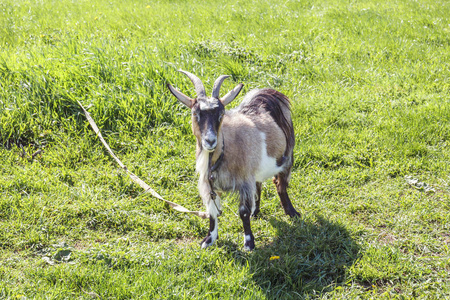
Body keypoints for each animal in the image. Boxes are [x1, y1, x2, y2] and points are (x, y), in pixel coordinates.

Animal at [167, 71, 300, 251]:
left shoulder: (243, 181)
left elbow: (243, 211)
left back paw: (292, 212)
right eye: (196, 114)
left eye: (221, 114)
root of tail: (267, 93)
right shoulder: (209, 185)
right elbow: (212, 211)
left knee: (280, 185)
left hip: (287, 157)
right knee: (258, 186)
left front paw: (249, 243)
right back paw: (256, 212)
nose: (210, 141)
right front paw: (209, 240)